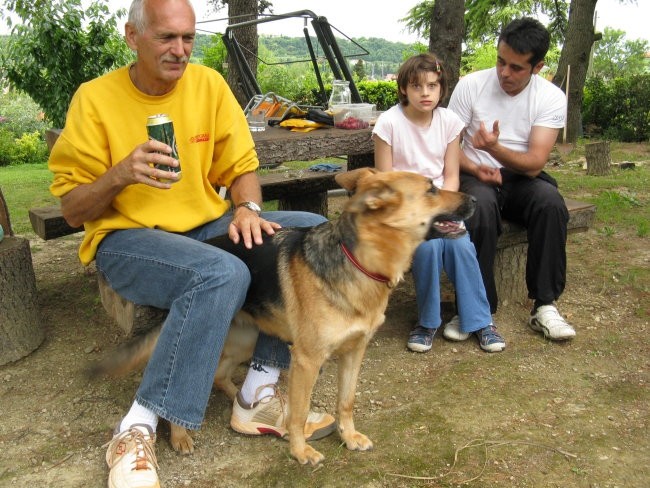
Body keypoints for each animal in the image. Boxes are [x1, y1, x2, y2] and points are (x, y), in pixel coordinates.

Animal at [90, 168, 470, 466]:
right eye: (432, 189)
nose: (473, 200)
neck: (358, 260)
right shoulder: (307, 360)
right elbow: (299, 412)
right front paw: (299, 451)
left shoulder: (354, 352)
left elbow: (346, 401)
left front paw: (348, 437)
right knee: (185, 373)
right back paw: (181, 433)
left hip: (245, 338)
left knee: (220, 373)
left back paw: (241, 401)